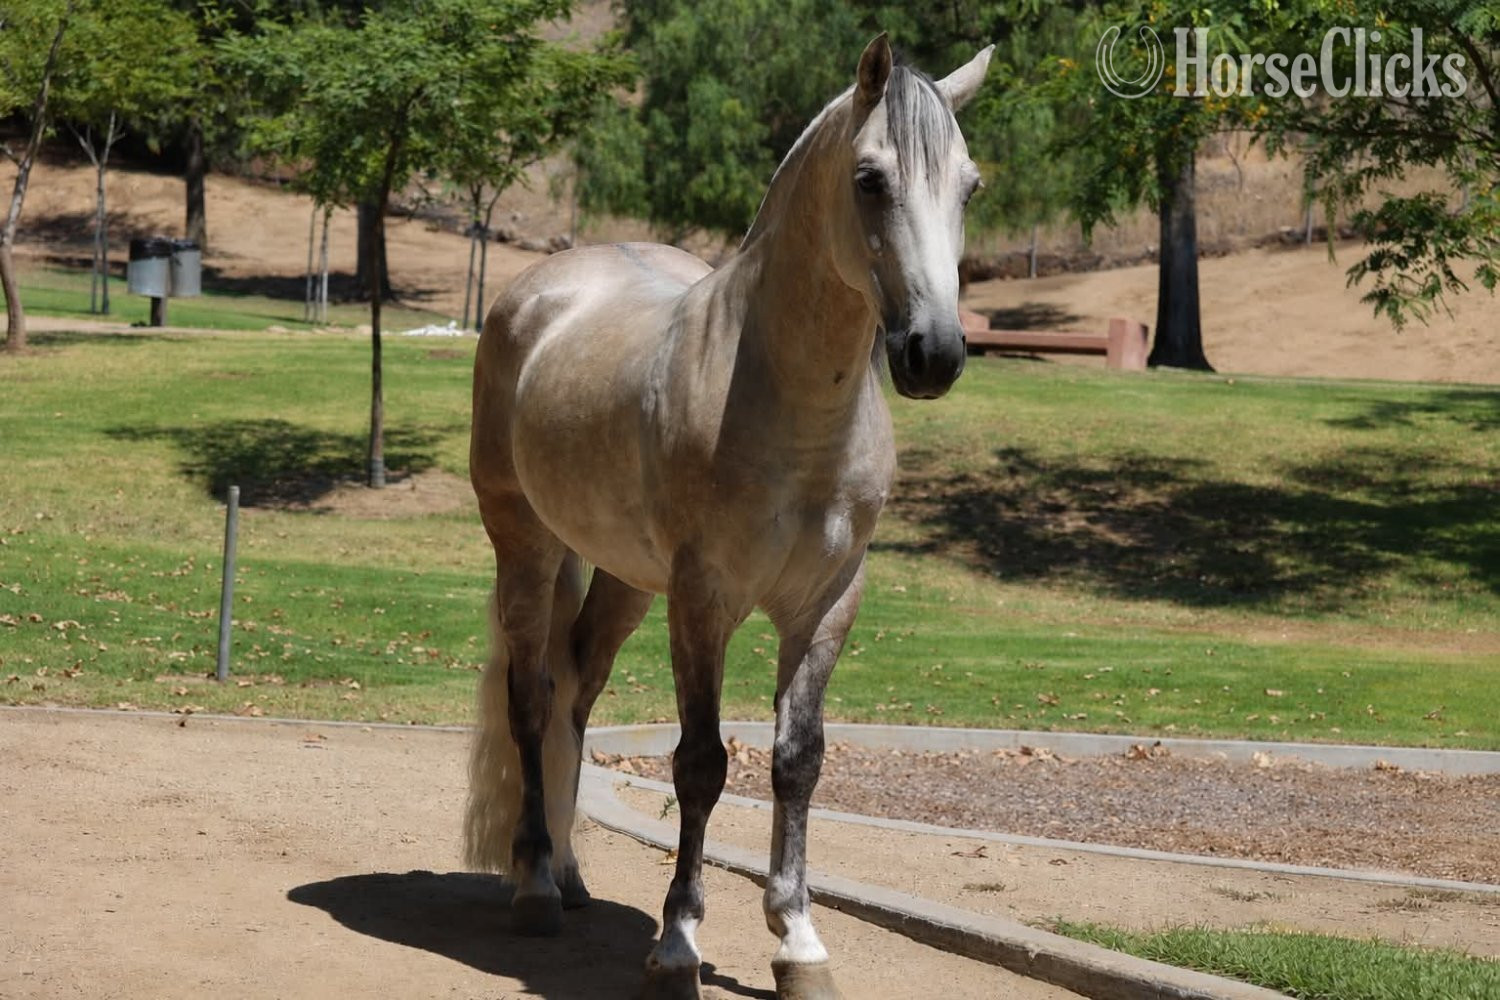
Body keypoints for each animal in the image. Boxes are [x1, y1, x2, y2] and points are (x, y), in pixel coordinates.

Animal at [464, 34, 993, 1000]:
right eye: (870, 179)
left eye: (969, 187)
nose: (933, 354)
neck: (789, 411)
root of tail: (545, 289)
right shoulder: (703, 600)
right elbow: (702, 763)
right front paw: (678, 943)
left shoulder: (827, 604)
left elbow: (797, 761)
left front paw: (799, 941)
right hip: (526, 547)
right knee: (532, 698)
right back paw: (535, 887)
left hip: (626, 583)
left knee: (576, 695)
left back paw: (572, 873)